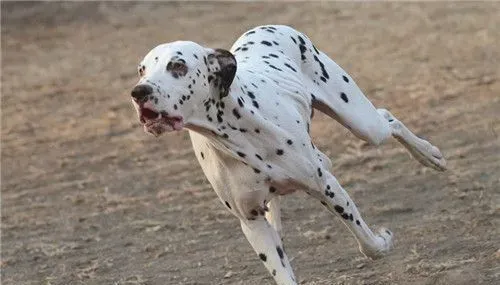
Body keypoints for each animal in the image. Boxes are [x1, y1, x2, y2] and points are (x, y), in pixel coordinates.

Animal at [131, 25, 448, 284]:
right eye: (141, 70)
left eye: (178, 65)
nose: (138, 92)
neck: (233, 135)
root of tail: (269, 27)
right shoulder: (252, 223)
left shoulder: (327, 187)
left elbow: (369, 245)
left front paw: (382, 242)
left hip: (364, 124)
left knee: (388, 119)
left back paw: (430, 155)